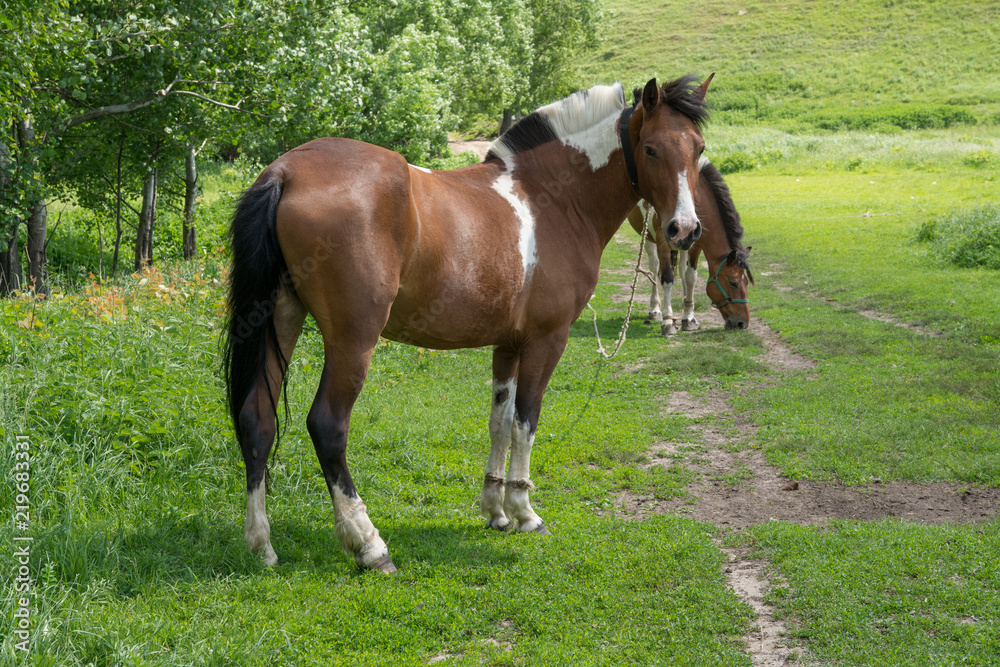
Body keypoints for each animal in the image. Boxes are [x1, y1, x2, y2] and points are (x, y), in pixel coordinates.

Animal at [225, 74, 712, 576]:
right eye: (651, 149)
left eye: (698, 148)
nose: (684, 230)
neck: (552, 198)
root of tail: (286, 171)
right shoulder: (546, 341)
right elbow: (526, 421)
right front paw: (525, 512)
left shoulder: (508, 345)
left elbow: (499, 421)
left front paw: (496, 510)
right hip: (352, 342)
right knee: (327, 426)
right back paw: (369, 544)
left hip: (281, 320)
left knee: (256, 419)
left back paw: (262, 545)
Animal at [624, 157, 752, 334]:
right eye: (733, 283)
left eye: (746, 283)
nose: (742, 323)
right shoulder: (663, 242)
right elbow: (667, 279)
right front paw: (668, 322)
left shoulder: (696, 244)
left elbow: (691, 277)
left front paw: (689, 318)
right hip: (649, 238)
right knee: (654, 267)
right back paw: (655, 310)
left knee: (682, 271)